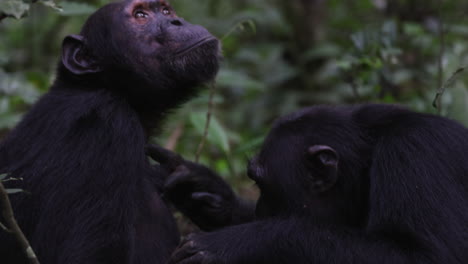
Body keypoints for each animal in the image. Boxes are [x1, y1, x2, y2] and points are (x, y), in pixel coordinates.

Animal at [149, 104, 468, 264]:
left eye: (261, 182)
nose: (261, 209)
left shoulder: (415, 156)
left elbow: (423, 256)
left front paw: (234, 244)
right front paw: (203, 190)